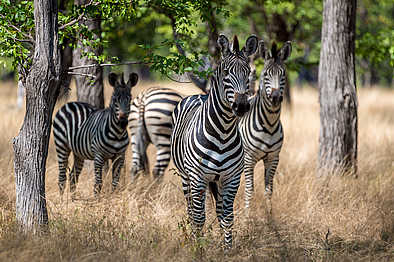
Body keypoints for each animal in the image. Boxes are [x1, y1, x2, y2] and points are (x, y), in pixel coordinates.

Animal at [170, 34, 258, 248]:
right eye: (226, 72)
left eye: (248, 73)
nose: (241, 106)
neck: (223, 132)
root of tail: (198, 94)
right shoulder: (197, 177)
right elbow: (199, 218)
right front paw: (198, 249)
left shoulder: (232, 178)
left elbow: (227, 218)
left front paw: (228, 249)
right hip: (186, 177)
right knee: (191, 211)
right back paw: (191, 240)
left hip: (215, 181)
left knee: (217, 210)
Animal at [237, 40, 292, 208]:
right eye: (266, 74)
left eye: (283, 74)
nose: (275, 98)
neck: (269, 124)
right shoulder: (249, 159)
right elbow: (250, 191)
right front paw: (247, 214)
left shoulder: (273, 158)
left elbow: (269, 191)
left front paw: (269, 214)